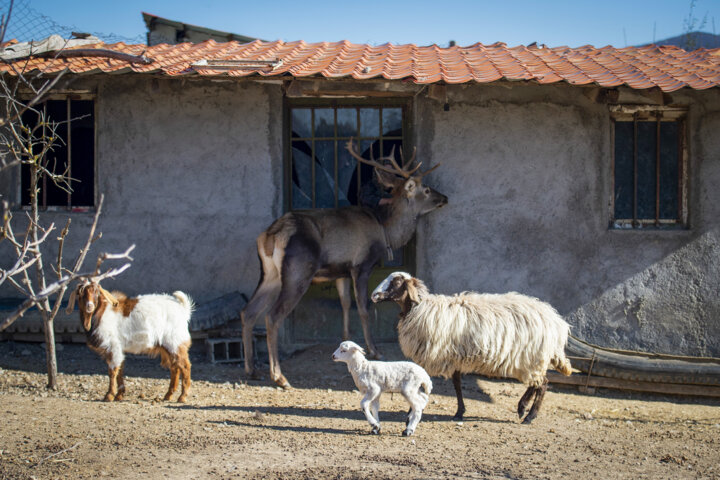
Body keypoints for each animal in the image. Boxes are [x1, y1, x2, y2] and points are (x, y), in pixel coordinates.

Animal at [64, 280, 193, 404]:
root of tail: (183, 309)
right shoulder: (117, 349)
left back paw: (182, 397)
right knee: (175, 368)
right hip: (167, 346)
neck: (101, 313)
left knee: (185, 366)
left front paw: (109, 395)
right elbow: (120, 369)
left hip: (175, 342)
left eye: (97, 293)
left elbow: (112, 371)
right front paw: (119, 395)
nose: (89, 306)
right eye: (80, 294)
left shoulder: (113, 346)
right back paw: (168, 395)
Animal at [239, 138, 448, 386]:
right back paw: (279, 376)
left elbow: (345, 303)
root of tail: (270, 236)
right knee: (272, 316)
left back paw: (251, 369)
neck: (385, 231)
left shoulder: (341, 272)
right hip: (297, 272)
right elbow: (364, 307)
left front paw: (346, 341)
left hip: (269, 274)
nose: (445, 198)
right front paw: (375, 350)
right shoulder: (362, 266)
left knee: (248, 312)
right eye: (425, 189)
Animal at [374, 272, 572, 426]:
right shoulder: (453, 356)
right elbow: (457, 384)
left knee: (542, 384)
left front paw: (412, 412)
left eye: (396, 282)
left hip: (532, 357)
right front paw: (459, 412)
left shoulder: (438, 355)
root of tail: (556, 322)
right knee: (537, 383)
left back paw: (529, 415)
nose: (374, 296)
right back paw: (522, 408)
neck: (420, 309)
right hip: (532, 359)